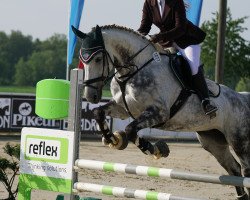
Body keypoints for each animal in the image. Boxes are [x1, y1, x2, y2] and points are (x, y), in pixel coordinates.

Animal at [72, 24, 250, 198]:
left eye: (98, 59)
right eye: (82, 60)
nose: (91, 96)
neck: (133, 70)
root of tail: (243, 98)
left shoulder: (159, 113)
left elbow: (130, 130)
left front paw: (156, 149)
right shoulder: (122, 109)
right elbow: (98, 113)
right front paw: (112, 139)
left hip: (240, 143)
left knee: (244, 169)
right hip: (212, 141)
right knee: (234, 169)